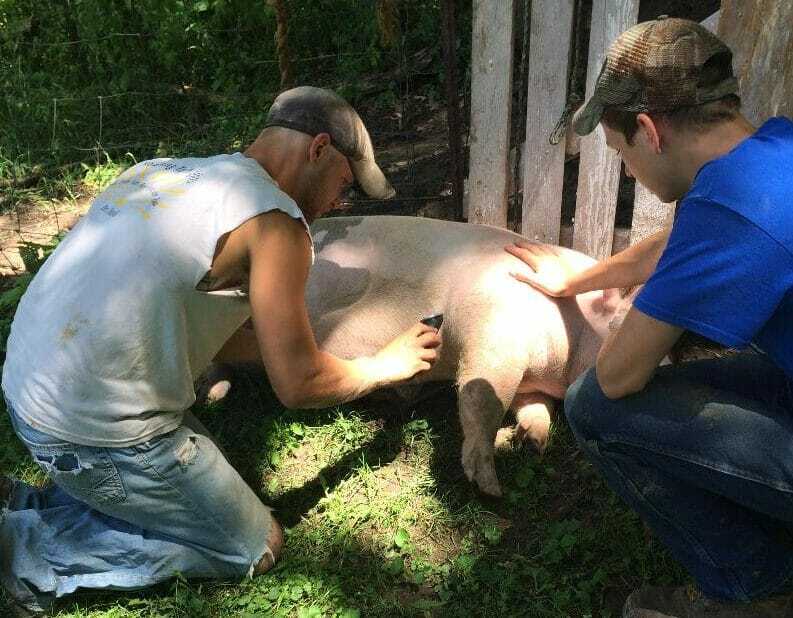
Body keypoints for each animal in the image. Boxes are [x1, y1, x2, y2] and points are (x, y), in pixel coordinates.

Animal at [206, 214, 624, 494]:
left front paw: (530, 443)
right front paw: (489, 486)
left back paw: (216, 396)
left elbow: (534, 407)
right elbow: (480, 394)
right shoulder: (491, 330)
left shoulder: (532, 381)